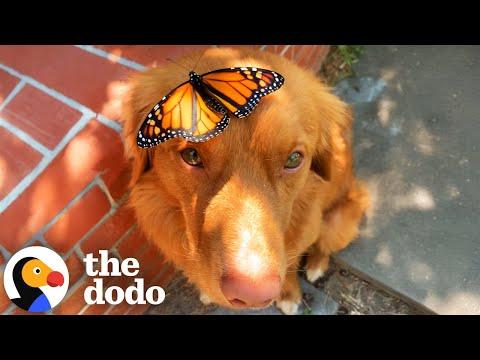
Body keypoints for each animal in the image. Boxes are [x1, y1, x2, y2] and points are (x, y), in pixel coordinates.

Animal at [122, 46, 370, 314]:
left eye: (294, 159)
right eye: (191, 155)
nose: (253, 294)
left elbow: (291, 262)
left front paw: (289, 292)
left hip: (336, 224)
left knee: (325, 245)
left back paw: (316, 265)